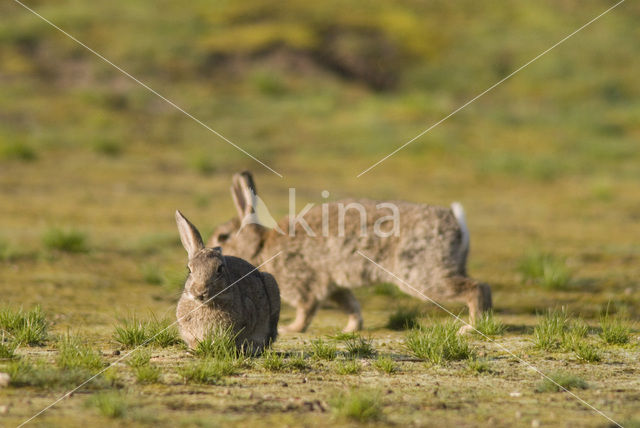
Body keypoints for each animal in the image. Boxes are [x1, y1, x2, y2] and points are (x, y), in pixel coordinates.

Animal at [208, 172, 492, 332]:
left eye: (223, 236)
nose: (213, 252)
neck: (261, 246)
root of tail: (457, 224)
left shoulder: (302, 284)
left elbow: (306, 308)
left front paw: (291, 329)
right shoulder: (335, 285)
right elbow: (351, 305)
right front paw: (351, 329)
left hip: (422, 274)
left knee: (475, 288)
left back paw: (470, 328)